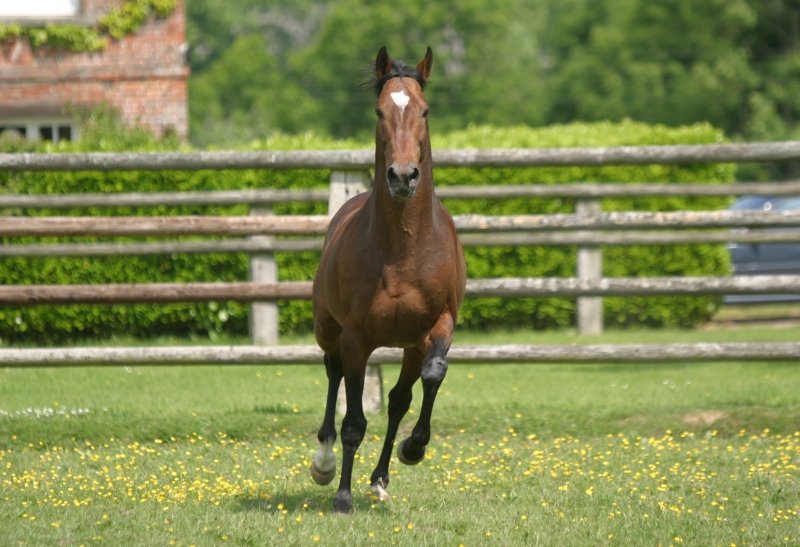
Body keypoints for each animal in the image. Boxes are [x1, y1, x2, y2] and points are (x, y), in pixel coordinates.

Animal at [309, 46, 466, 513]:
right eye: (380, 111)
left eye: (425, 110)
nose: (402, 176)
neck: (403, 251)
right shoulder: (356, 336)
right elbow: (354, 421)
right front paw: (342, 495)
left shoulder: (438, 326)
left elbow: (431, 377)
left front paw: (413, 448)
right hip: (328, 329)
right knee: (333, 374)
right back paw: (324, 463)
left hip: (409, 345)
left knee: (399, 400)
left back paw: (380, 477)